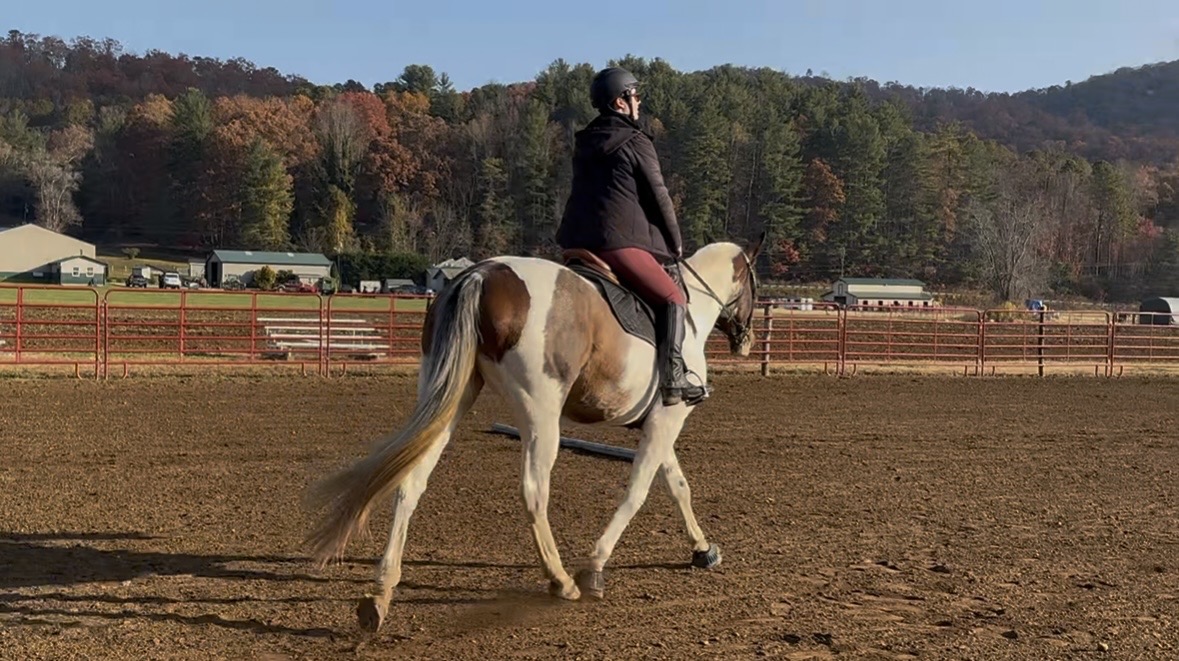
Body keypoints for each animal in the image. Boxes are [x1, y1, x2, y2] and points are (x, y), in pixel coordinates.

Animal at [304, 233, 764, 632]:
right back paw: (562, 581)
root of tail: (479, 276)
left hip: (450, 395)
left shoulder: (657, 423)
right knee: (533, 490)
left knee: (411, 480)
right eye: (755, 288)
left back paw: (380, 594)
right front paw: (595, 567)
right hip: (540, 413)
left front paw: (703, 550)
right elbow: (639, 492)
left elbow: (677, 485)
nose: (746, 340)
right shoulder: (669, 418)